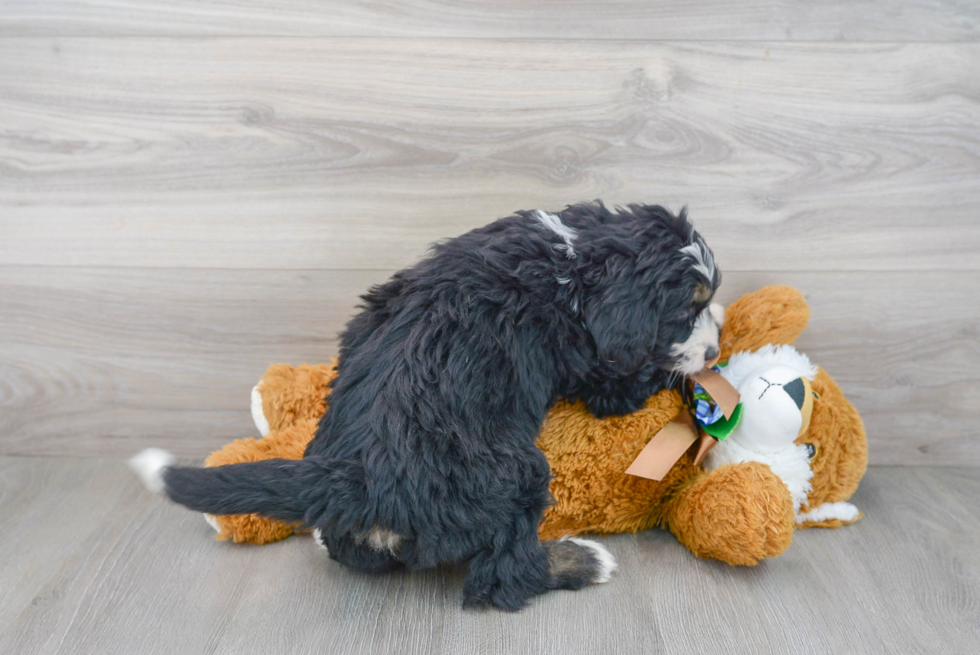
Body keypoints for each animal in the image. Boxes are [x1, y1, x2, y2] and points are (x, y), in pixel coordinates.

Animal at [130, 202, 720, 612]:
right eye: (684, 313)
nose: (716, 351)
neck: (573, 261)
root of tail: (365, 477)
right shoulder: (601, 365)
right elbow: (633, 379)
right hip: (516, 475)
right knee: (502, 577)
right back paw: (582, 560)